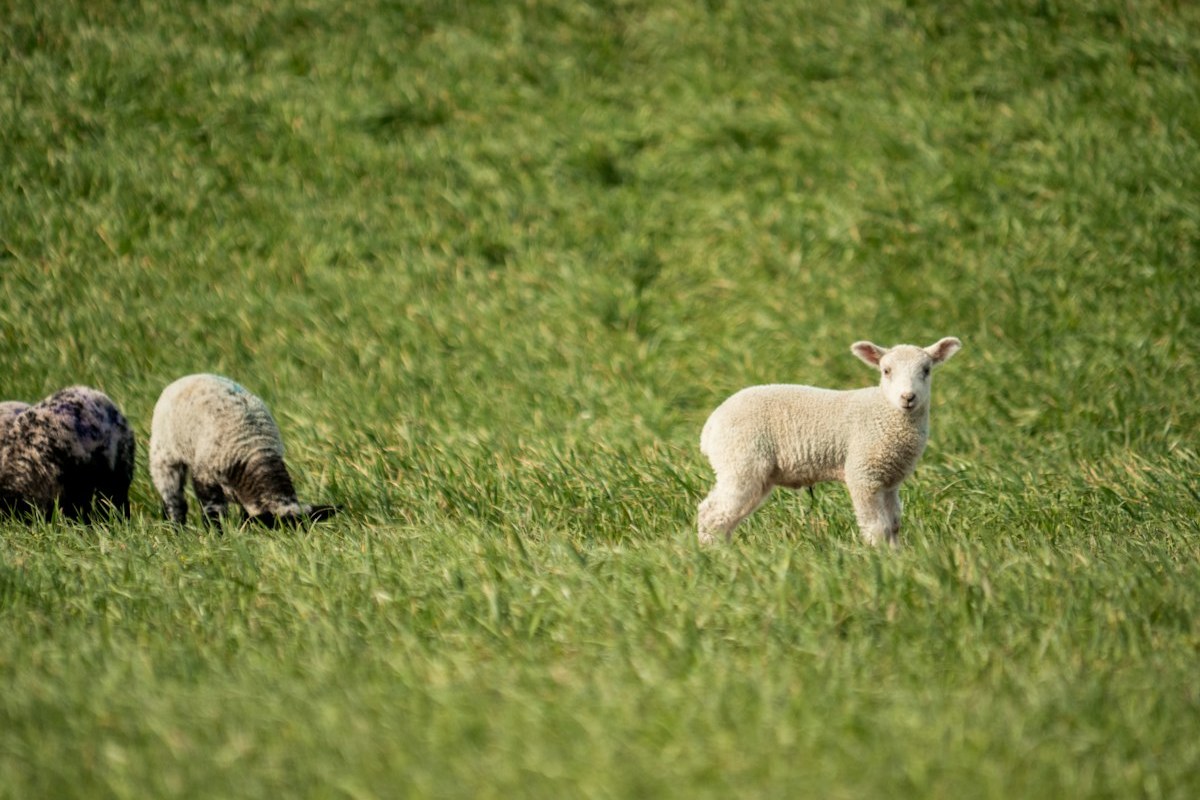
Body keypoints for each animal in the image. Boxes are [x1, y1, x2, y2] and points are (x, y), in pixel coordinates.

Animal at [149, 374, 338, 527]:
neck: (253, 451)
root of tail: (189, 377)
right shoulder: (205, 476)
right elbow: (214, 512)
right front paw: (217, 536)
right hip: (164, 456)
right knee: (174, 501)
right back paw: (176, 529)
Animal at [697, 337, 962, 546]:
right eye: (886, 371)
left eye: (926, 370)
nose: (908, 397)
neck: (884, 411)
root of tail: (711, 425)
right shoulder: (863, 474)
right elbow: (877, 527)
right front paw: (879, 558)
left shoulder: (889, 480)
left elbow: (894, 525)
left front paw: (897, 557)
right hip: (741, 460)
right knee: (712, 514)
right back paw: (715, 556)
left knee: (722, 516)